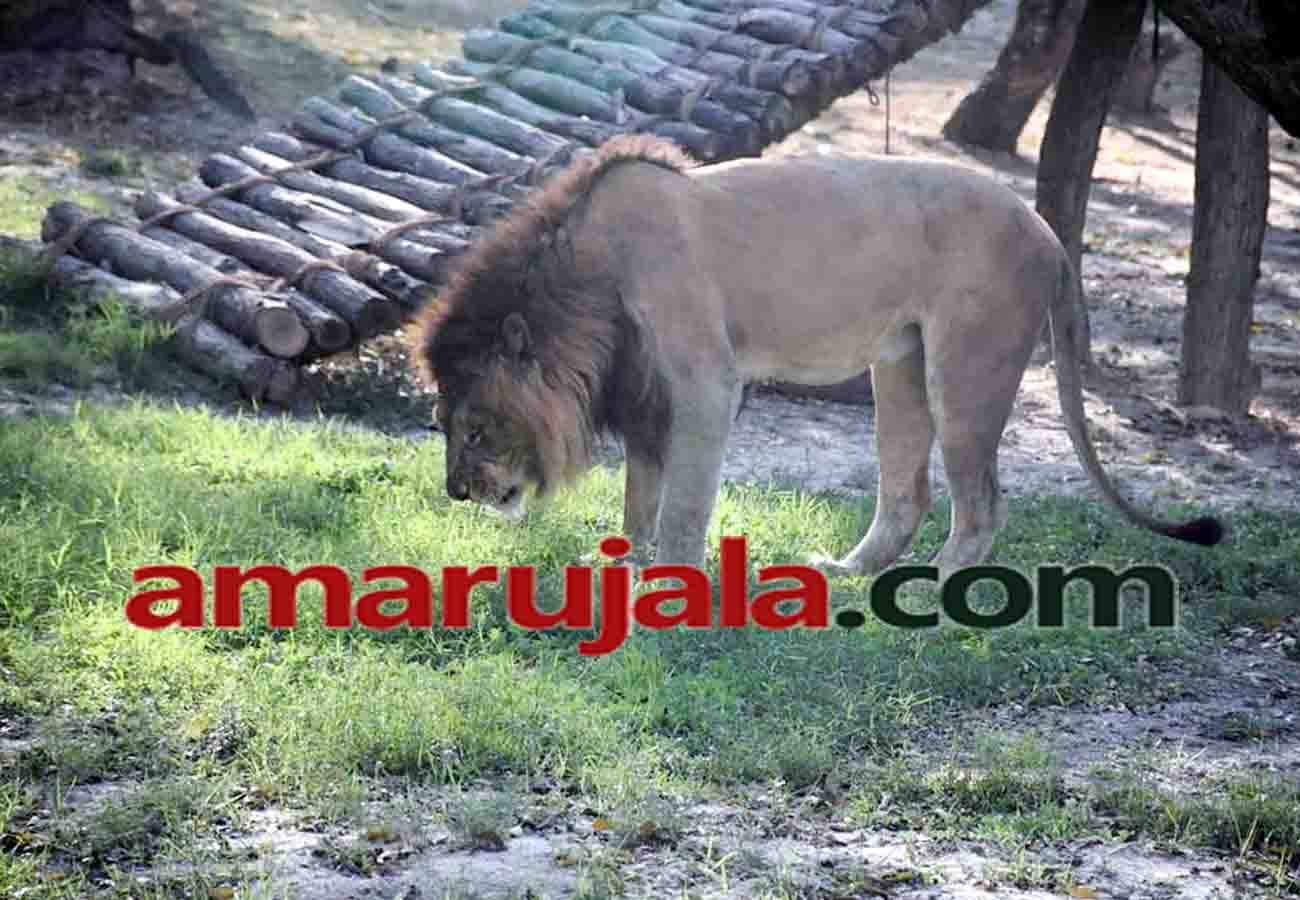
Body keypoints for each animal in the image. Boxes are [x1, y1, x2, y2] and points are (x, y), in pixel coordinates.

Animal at [412, 134, 1223, 578]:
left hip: (966, 367)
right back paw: (850, 573)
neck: (585, 281)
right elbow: (641, 493)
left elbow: (683, 499)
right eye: (443, 424)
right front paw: (627, 565)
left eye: (477, 429)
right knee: (907, 492)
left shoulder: (705, 381)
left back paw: (936, 588)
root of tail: (1049, 232)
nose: (455, 493)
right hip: (900, 369)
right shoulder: (642, 393)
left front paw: (668, 579)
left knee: (983, 501)